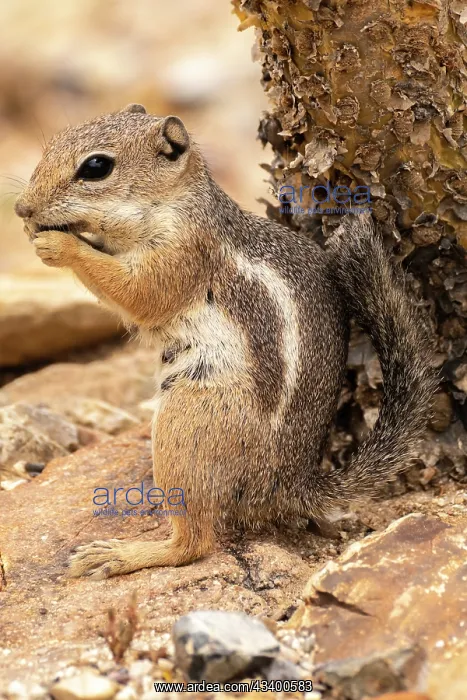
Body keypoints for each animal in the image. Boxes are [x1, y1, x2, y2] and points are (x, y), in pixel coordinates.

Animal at [15, 104, 435, 580]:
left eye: (96, 167)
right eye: (52, 144)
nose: (21, 207)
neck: (173, 204)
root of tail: (287, 485)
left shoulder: (182, 255)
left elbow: (137, 292)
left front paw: (56, 244)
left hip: (189, 420)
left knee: (195, 543)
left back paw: (123, 555)